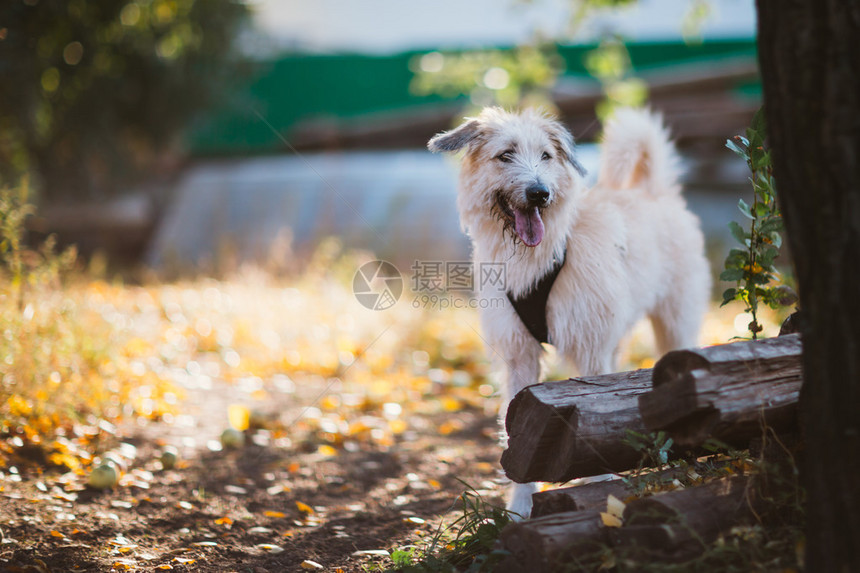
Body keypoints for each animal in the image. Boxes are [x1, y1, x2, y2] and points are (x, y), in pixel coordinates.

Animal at [428, 107, 712, 520]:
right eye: (505, 155)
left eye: (546, 156)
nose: (539, 193)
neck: (541, 256)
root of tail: (653, 191)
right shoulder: (520, 356)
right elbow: (516, 430)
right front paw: (520, 507)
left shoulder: (591, 350)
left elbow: (598, 420)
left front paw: (600, 491)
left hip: (675, 324)